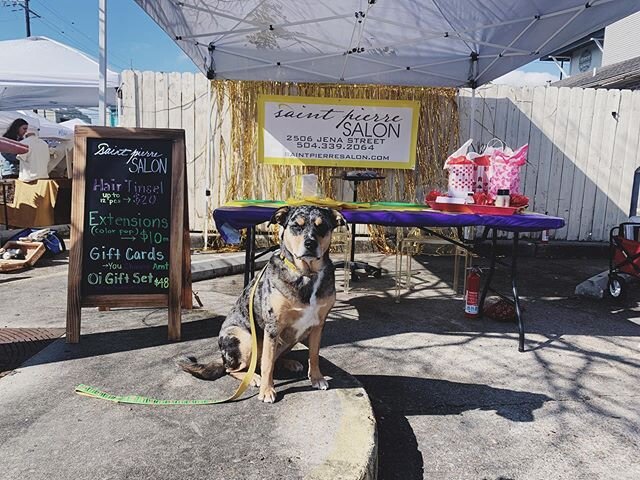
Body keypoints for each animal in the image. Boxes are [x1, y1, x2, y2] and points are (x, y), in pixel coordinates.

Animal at [178, 204, 344, 404]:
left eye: (322, 227)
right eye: (297, 226)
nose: (310, 244)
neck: (306, 275)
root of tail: (222, 357)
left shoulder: (318, 325)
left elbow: (314, 355)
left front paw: (317, 378)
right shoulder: (272, 327)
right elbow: (267, 364)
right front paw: (267, 390)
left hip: (290, 338)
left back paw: (289, 363)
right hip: (245, 338)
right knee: (233, 369)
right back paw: (254, 378)